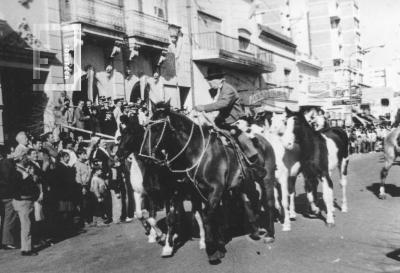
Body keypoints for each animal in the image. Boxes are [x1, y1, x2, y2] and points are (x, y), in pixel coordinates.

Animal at [140, 101, 276, 262]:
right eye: (145, 127)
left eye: (157, 128)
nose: (143, 155)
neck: (199, 152)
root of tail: (264, 139)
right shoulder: (194, 192)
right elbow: (202, 216)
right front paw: (218, 244)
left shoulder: (216, 189)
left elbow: (207, 215)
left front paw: (211, 248)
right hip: (244, 183)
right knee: (249, 202)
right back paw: (255, 230)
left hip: (266, 179)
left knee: (269, 203)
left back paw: (270, 234)